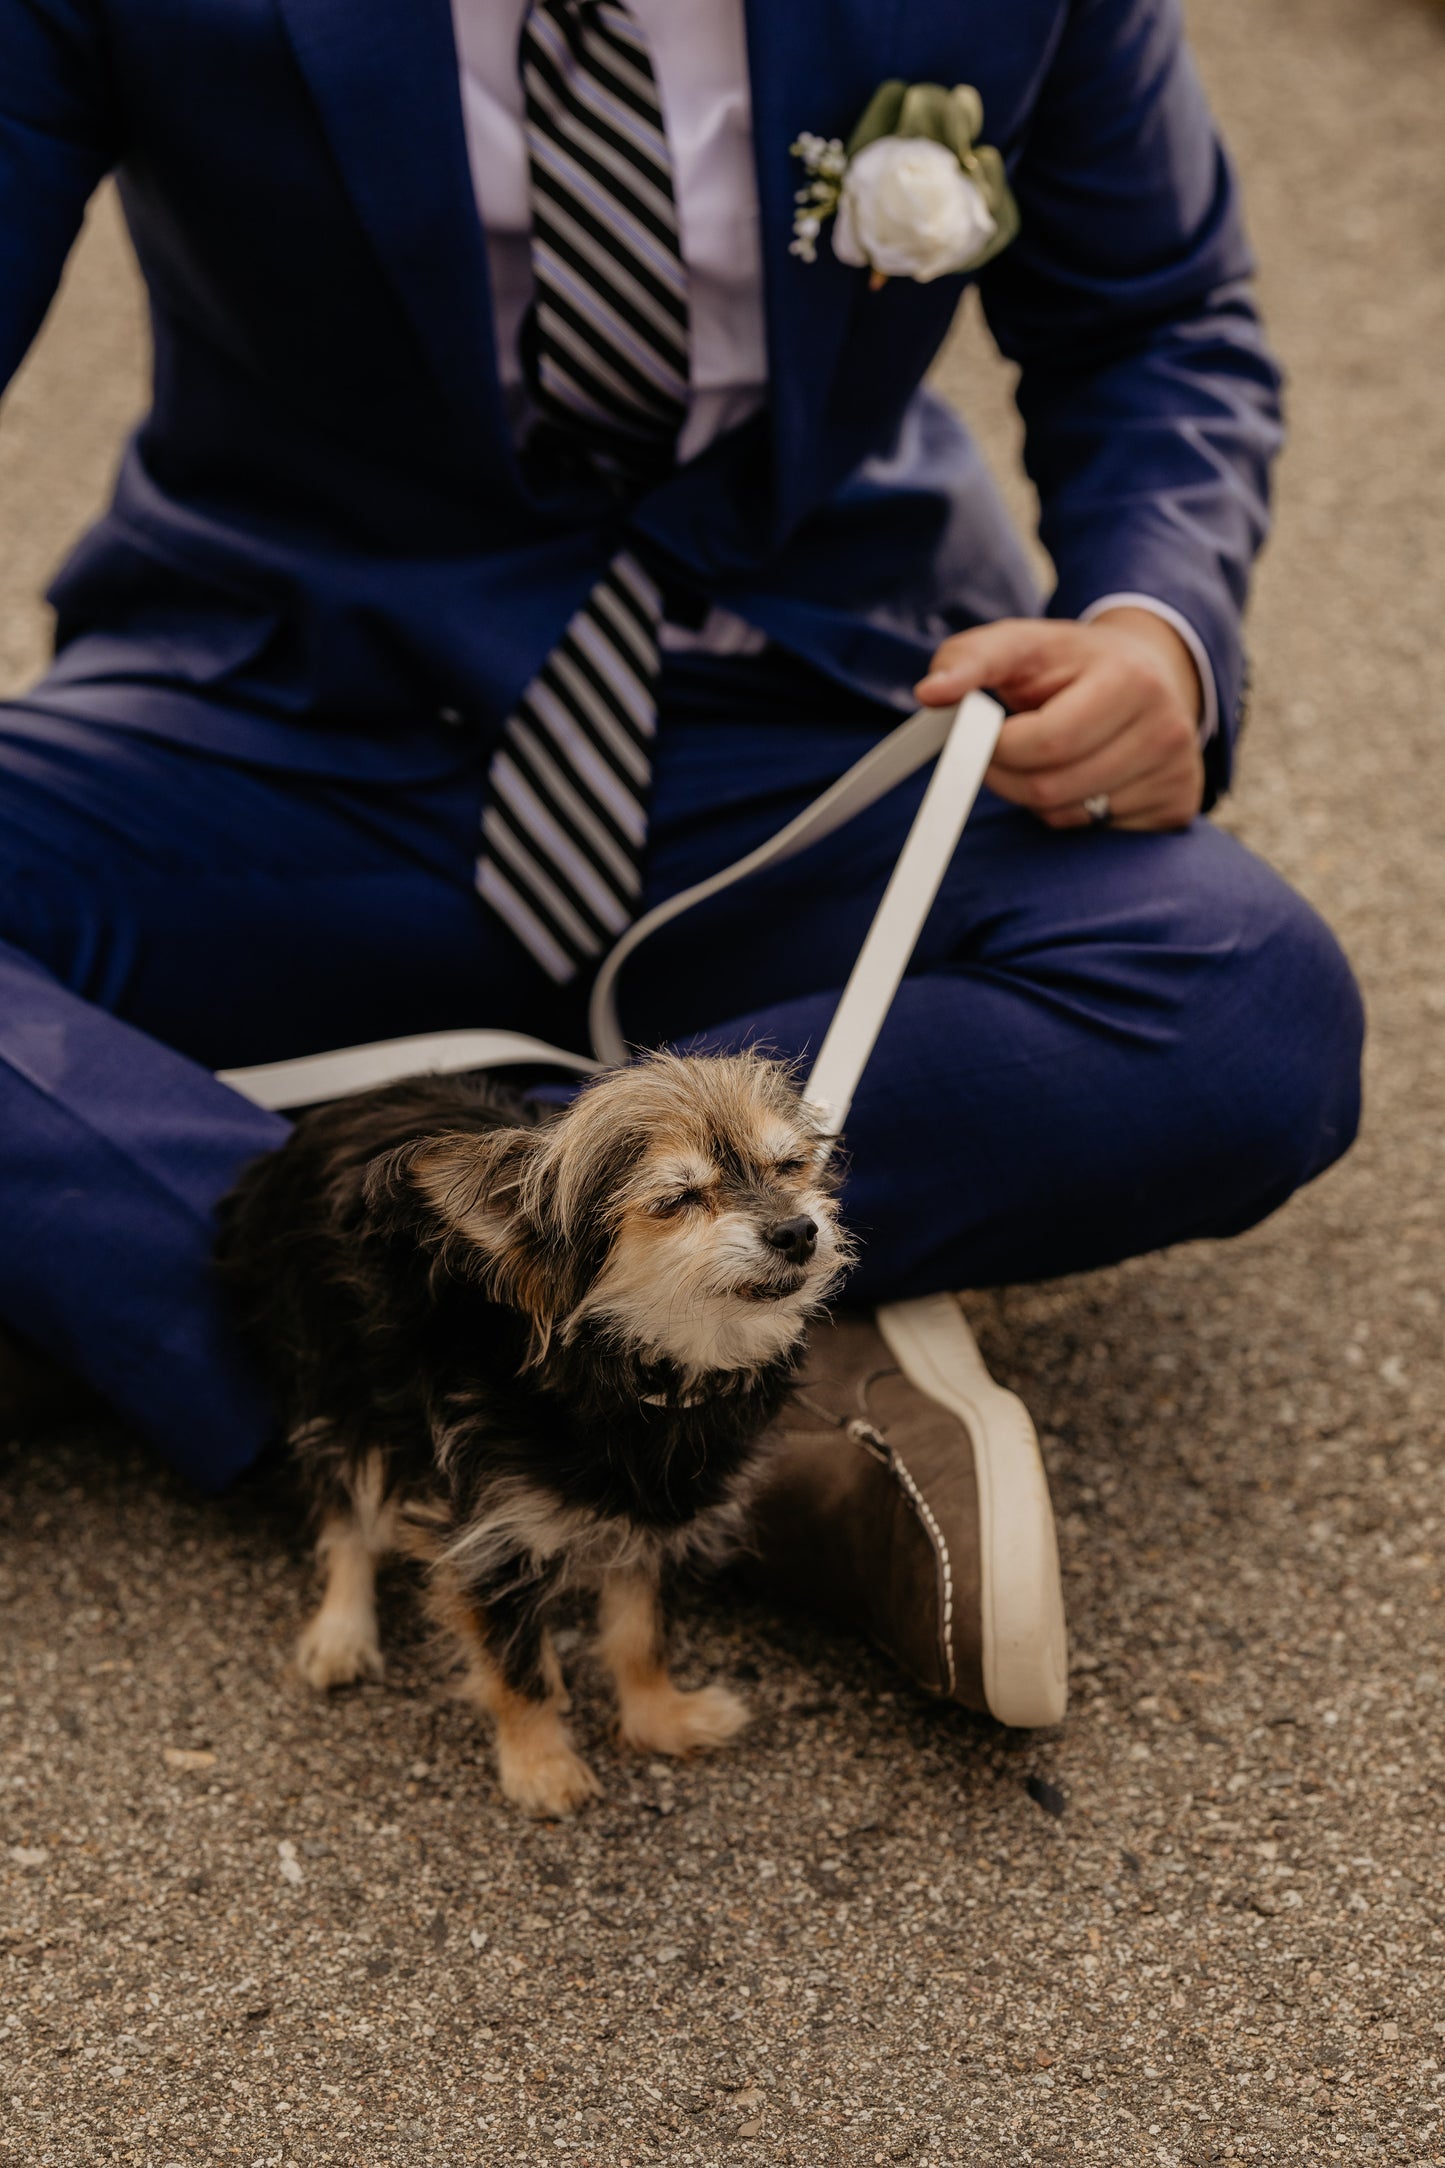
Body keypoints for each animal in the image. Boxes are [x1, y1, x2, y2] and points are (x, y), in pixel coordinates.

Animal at [214, 1049, 849, 1812]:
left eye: (790, 1166)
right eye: (675, 1200)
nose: (797, 1232)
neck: (631, 1377)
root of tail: (331, 1113)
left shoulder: (655, 1514)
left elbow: (639, 1635)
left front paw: (659, 1718)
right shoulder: (490, 1530)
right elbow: (514, 1664)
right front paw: (540, 1764)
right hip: (338, 1385)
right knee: (347, 1510)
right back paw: (341, 1631)